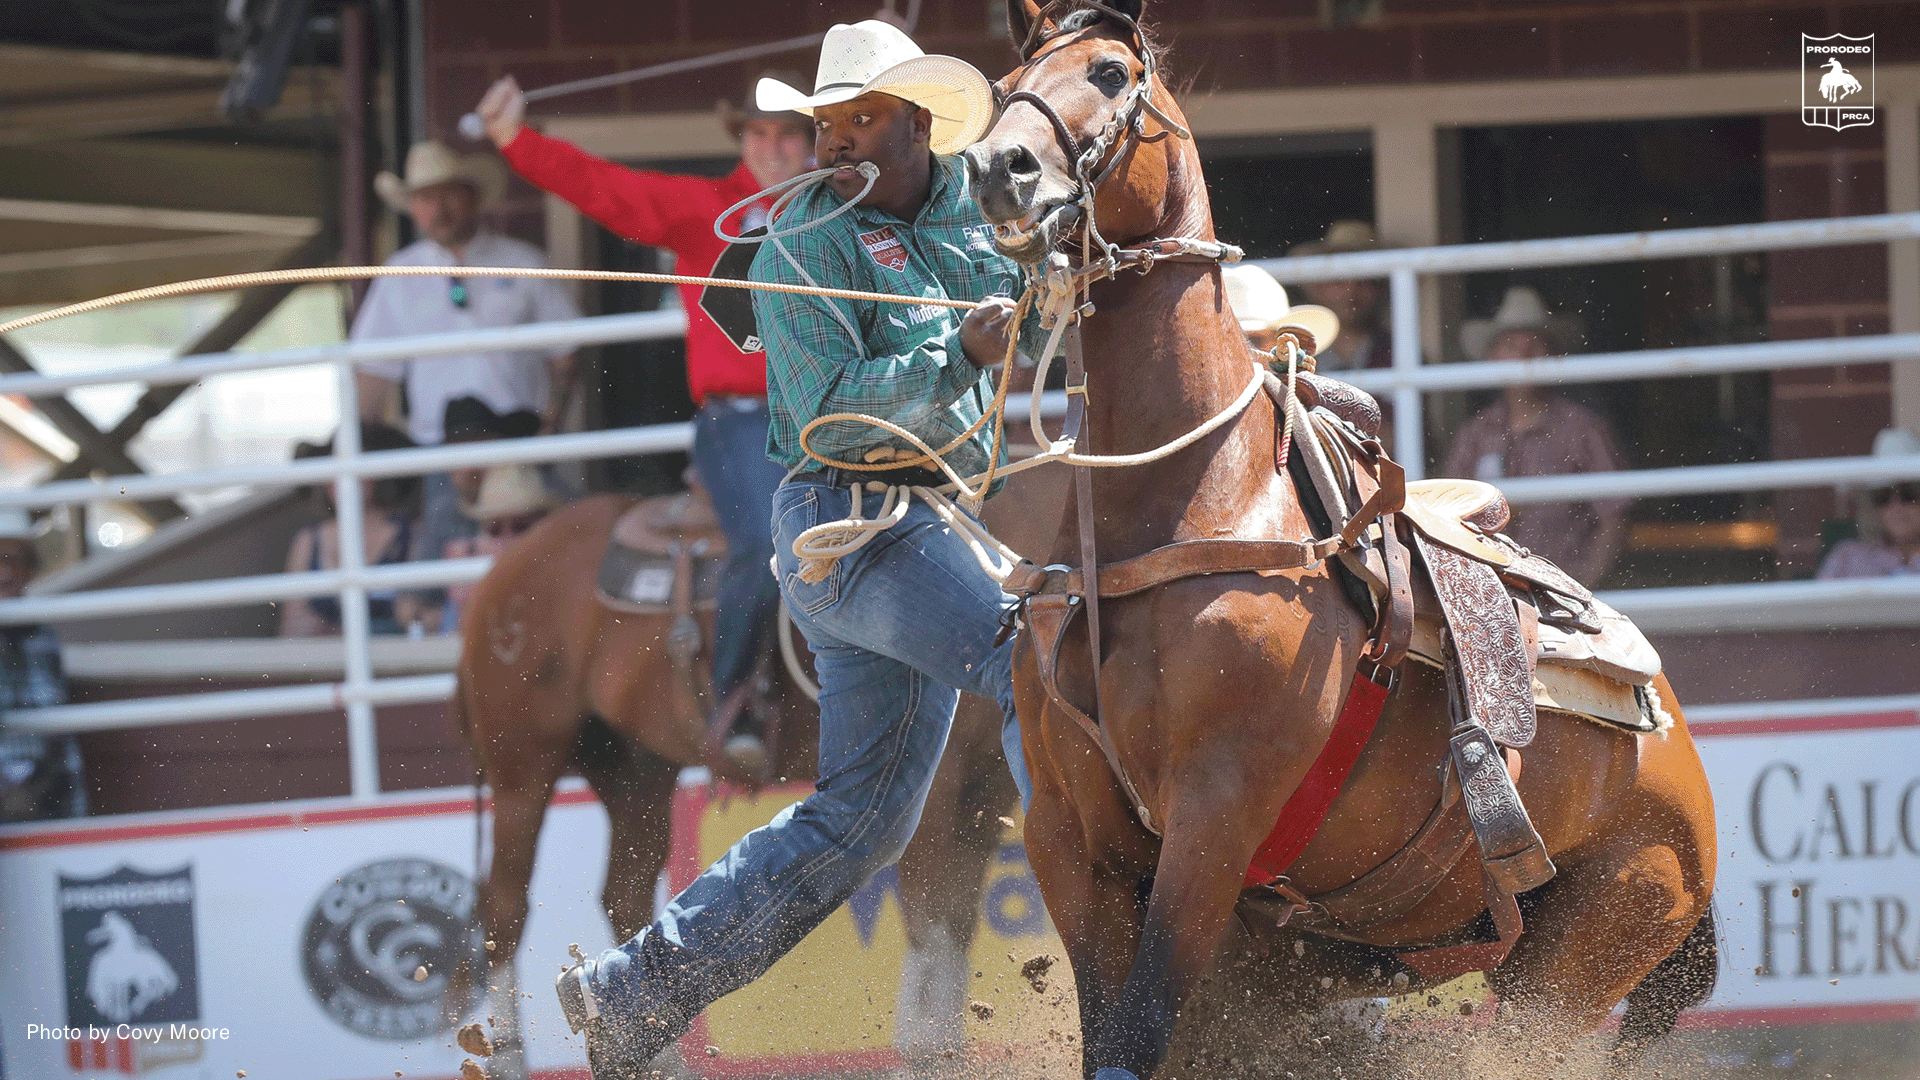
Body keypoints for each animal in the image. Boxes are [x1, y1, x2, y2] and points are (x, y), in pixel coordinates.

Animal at [967, 4, 1720, 1068]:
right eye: (1002, 86)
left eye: (1111, 72)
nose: (1000, 166)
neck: (1191, 494)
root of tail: (1680, 744)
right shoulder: (1072, 842)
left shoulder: (1214, 820)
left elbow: (1139, 1031)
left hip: (1587, 954)